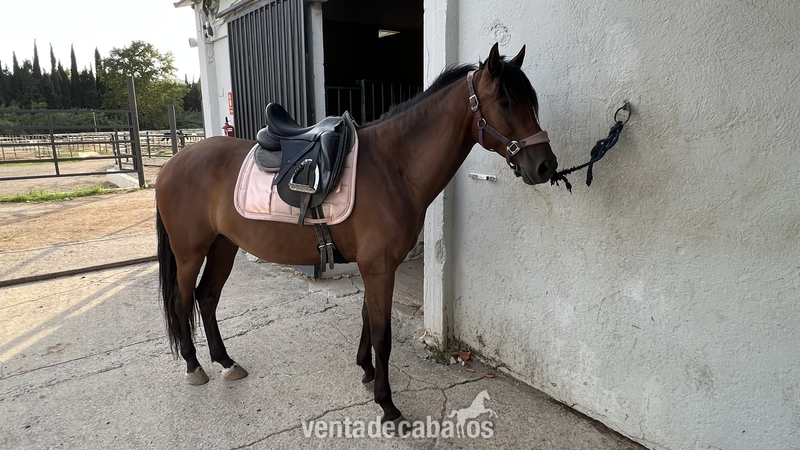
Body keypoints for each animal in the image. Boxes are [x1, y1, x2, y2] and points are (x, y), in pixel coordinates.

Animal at [155, 43, 558, 423]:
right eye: (505, 102)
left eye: (532, 101)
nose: (546, 165)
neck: (393, 168)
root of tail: (173, 164)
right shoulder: (378, 268)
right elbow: (383, 333)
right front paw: (388, 404)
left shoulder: (377, 266)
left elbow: (367, 319)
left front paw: (367, 370)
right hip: (190, 252)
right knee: (182, 300)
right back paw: (194, 366)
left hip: (224, 246)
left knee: (207, 298)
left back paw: (226, 362)